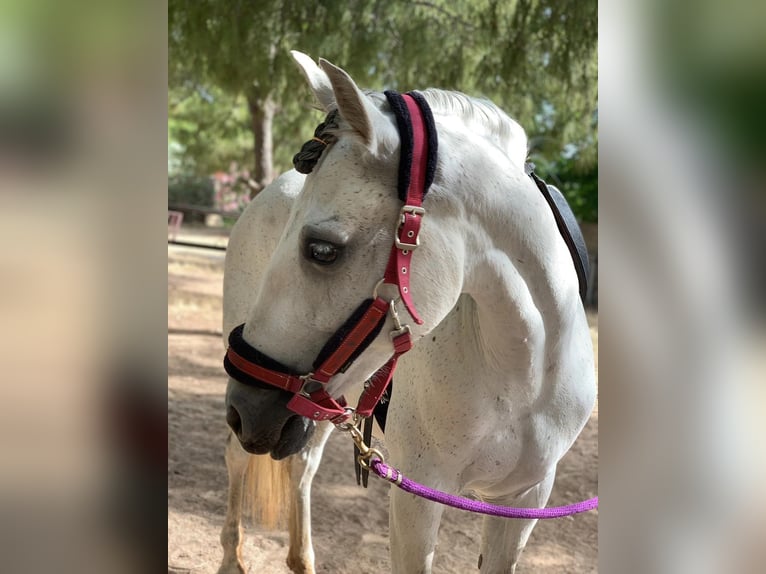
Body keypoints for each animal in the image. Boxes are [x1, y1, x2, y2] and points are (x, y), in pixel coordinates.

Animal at [219, 54, 596, 574]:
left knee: (302, 466)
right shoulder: (418, 496)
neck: (523, 376)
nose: (245, 411)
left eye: (322, 249)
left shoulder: (525, 500)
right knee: (237, 460)